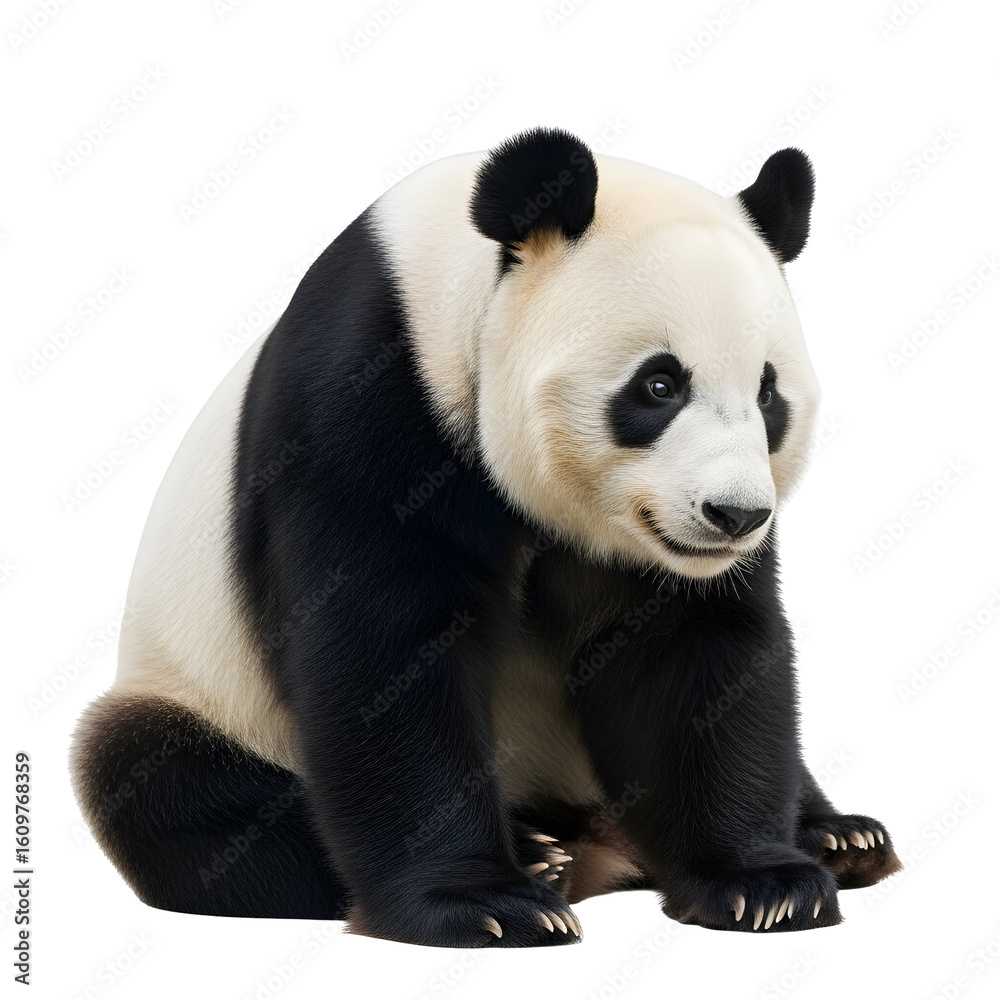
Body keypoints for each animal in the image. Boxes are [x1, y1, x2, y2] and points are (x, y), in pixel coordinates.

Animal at [71, 127, 901, 947]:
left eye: (768, 394)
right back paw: (537, 853)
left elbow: (696, 653)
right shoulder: (367, 399)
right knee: (163, 783)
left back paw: (838, 835)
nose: (736, 516)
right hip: (198, 689)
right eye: (660, 385)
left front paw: (763, 883)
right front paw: (483, 903)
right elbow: (386, 649)